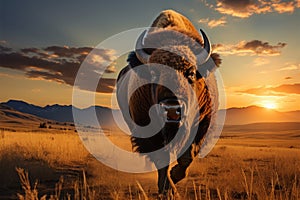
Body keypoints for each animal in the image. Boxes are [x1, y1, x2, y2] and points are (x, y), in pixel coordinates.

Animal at [116, 9, 221, 197]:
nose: (172, 110)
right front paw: (168, 190)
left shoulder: (202, 123)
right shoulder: (149, 131)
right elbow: (161, 159)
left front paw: (175, 176)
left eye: (191, 73)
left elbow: (188, 155)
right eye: (153, 72)